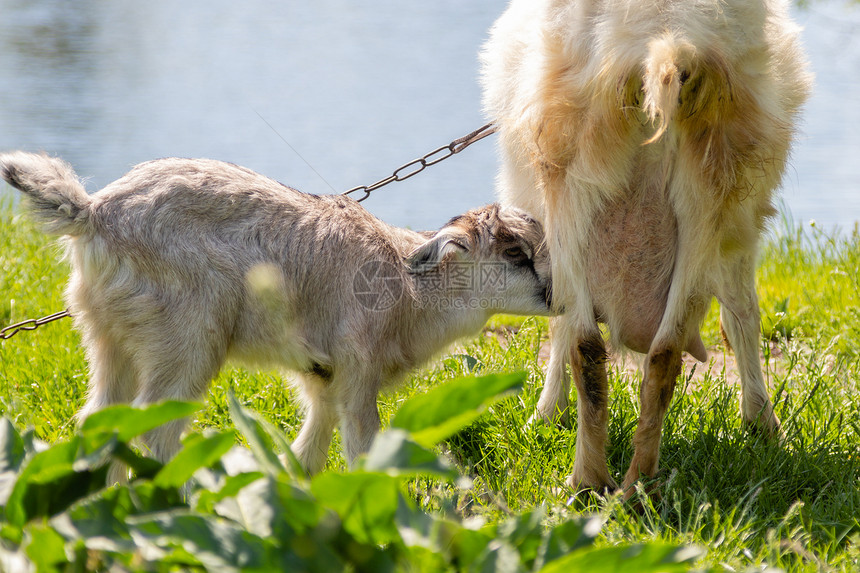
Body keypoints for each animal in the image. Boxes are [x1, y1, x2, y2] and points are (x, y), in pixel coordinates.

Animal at [1, 153, 552, 478]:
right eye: (516, 255)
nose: (560, 295)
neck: (409, 291)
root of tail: (92, 213)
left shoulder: (324, 378)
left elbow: (306, 454)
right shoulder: (359, 372)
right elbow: (363, 453)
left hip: (108, 335)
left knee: (102, 421)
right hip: (186, 339)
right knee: (155, 429)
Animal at [484, 0, 812, 496]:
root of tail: (664, 42)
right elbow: (741, 316)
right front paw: (762, 424)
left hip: (576, 185)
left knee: (590, 342)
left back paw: (591, 483)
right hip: (705, 193)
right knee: (658, 349)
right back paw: (633, 486)